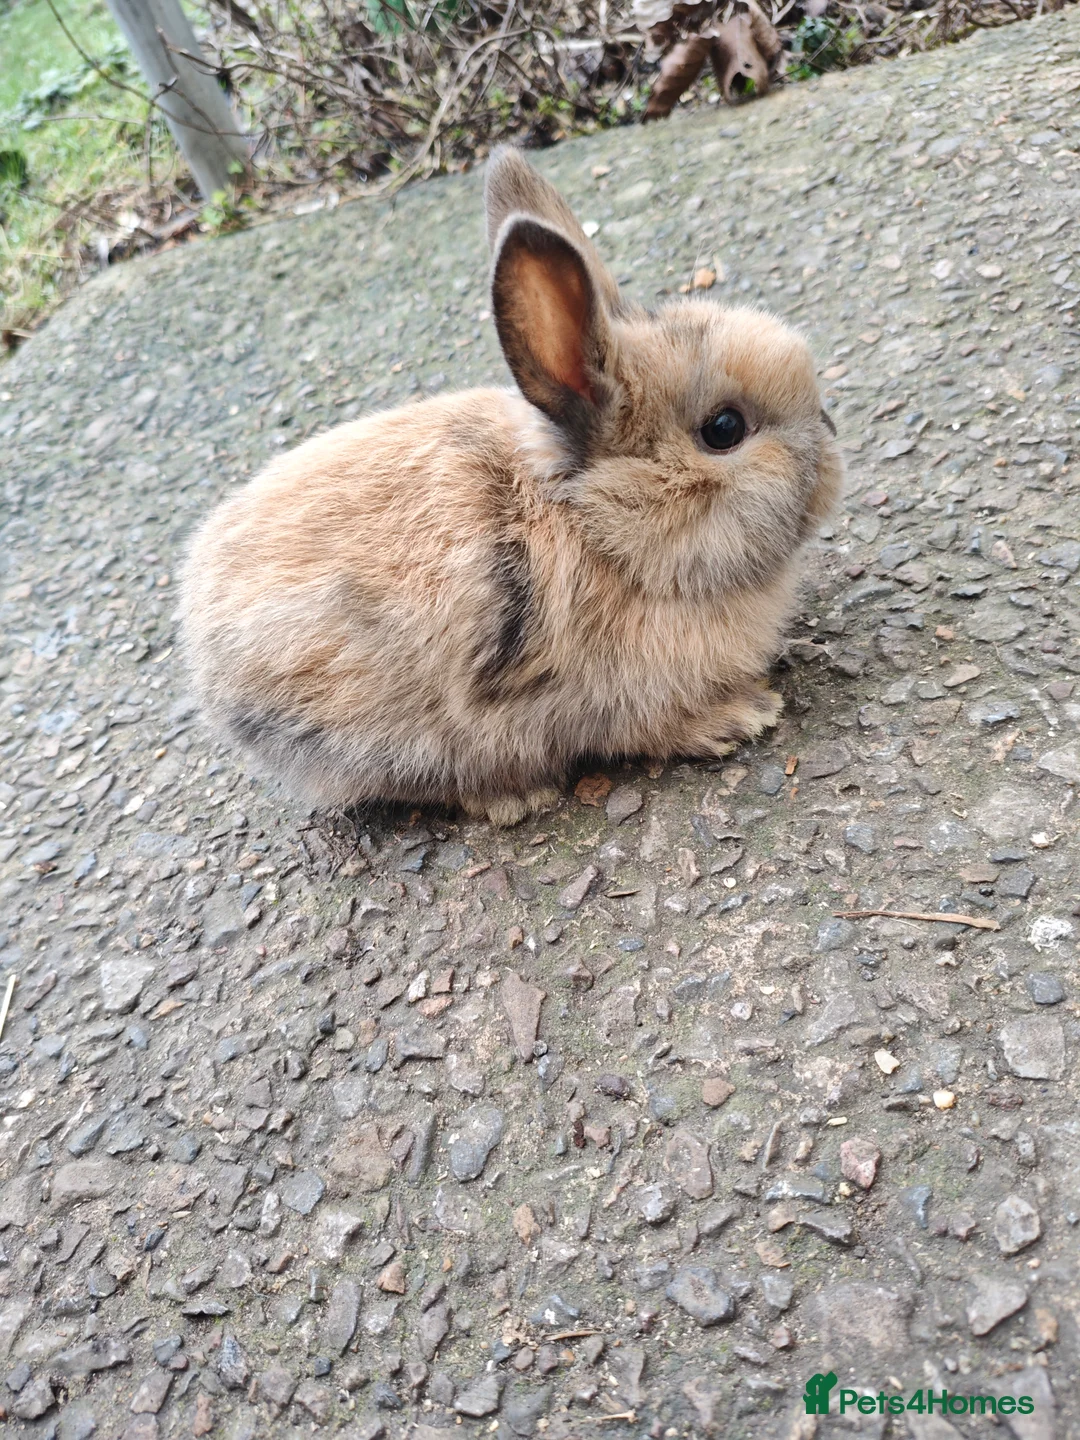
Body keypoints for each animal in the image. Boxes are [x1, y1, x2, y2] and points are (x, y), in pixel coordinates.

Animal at [179, 145, 843, 826]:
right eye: (723, 429)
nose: (830, 439)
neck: (599, 527)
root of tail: (204, 659)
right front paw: (743, 715)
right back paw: (518, 796)